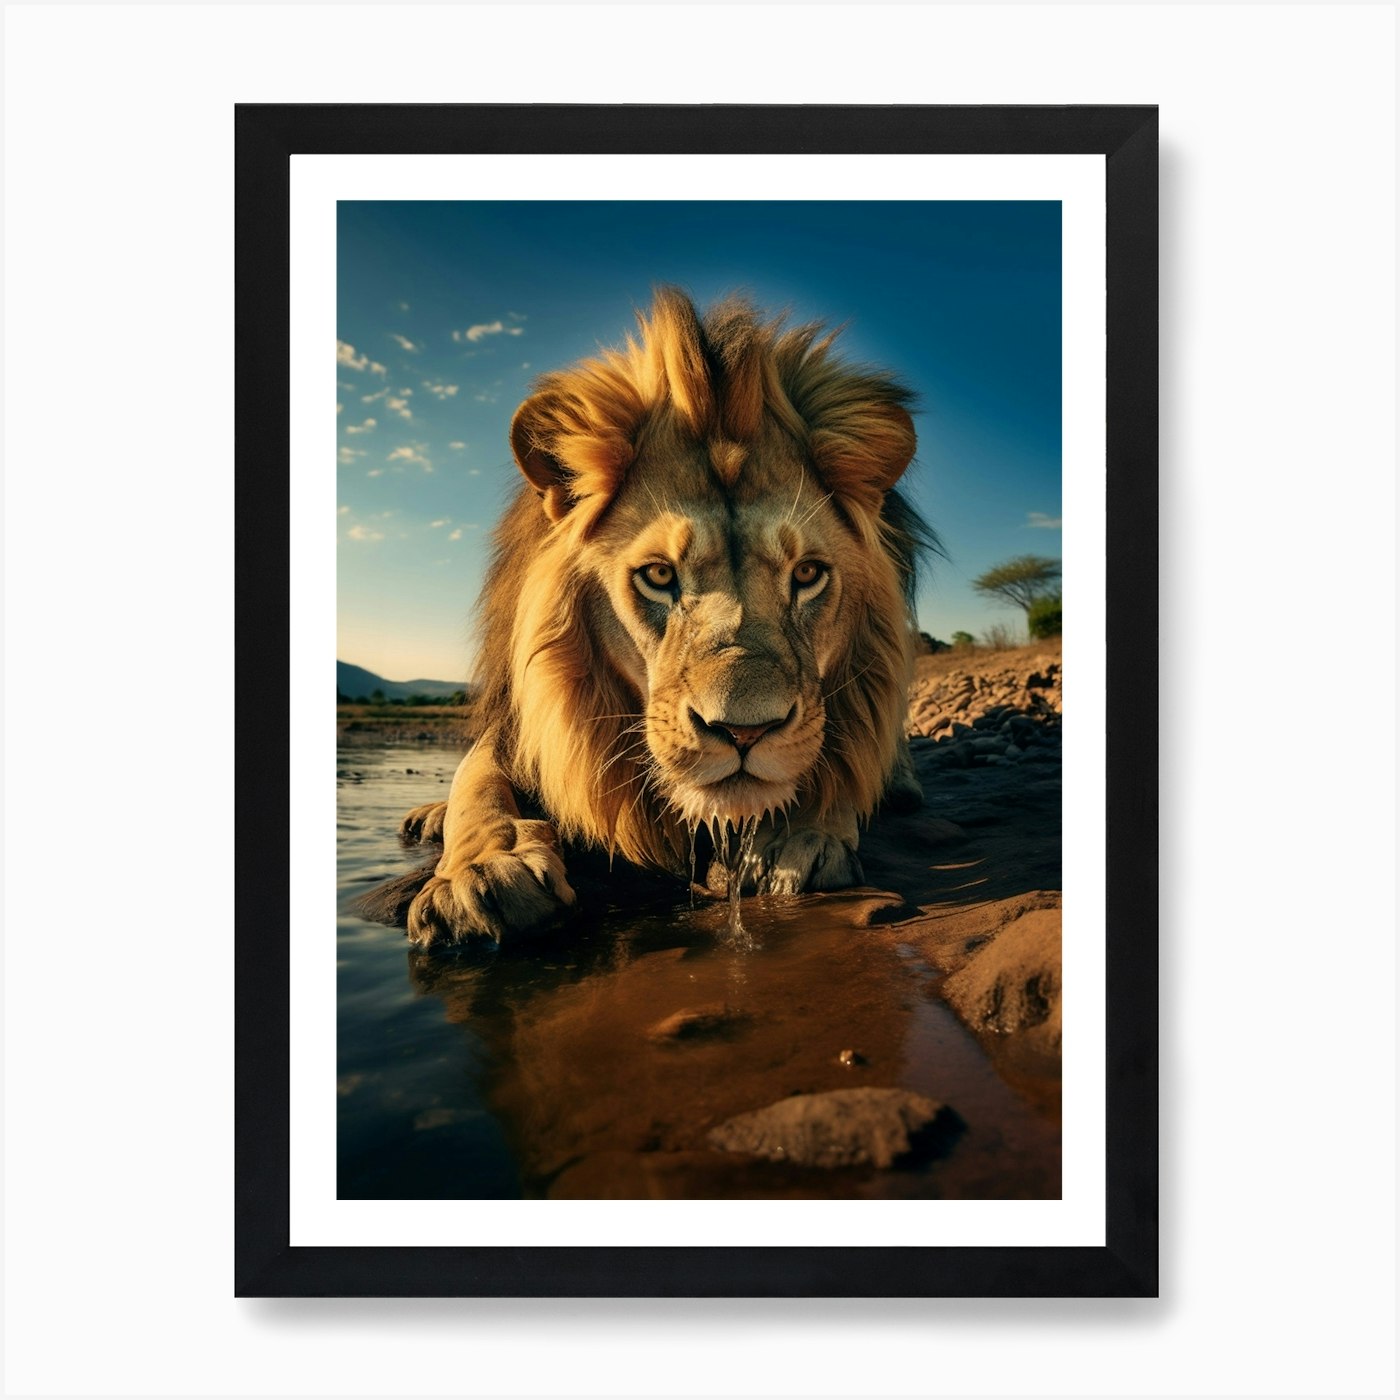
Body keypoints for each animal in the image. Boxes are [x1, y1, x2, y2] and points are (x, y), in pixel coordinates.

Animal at [399, 288, 934, 946]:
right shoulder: (513, 730)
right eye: (658, 576)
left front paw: (803, 838)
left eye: (807, 573)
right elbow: (477, 785)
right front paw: (483, 875)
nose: (745, 733)